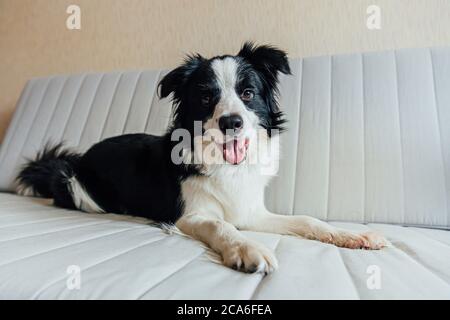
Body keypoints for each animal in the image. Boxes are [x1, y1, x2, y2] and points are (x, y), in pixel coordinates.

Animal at [15, 42, 388, 272]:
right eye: (207, 97)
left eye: (248, 93)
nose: (231, 122)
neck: (226, 166)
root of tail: (77, 159)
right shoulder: (189, 216)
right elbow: (221, 225)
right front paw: (247, 249)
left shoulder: (252, 211)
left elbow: (307, 221)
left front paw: (353, 236)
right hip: (78, 188)